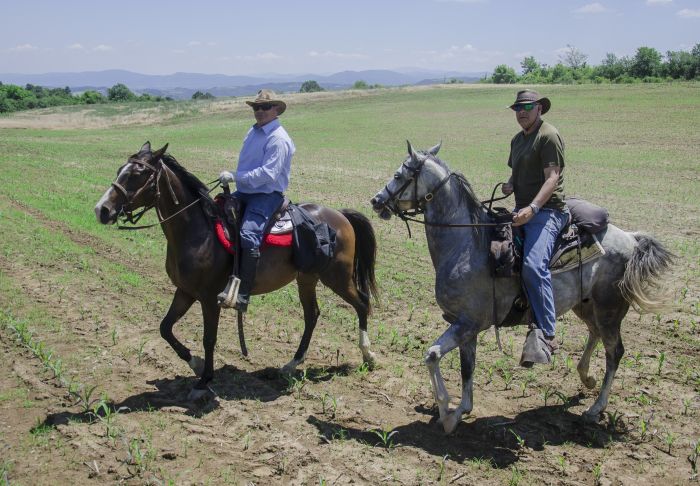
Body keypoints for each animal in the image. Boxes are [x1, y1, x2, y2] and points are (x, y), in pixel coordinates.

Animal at [95, 141, 380, 398]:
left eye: (137, 174)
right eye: (121, 169)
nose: (102, 210)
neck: (198, 232)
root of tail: (340, 215)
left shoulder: (209, 297)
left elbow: (209, 338)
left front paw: (204, 381)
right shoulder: (185, 291)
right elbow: (165, 328)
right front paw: (196, 364)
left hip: (337, 276)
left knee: (362, 303)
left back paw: (369, 355)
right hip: (308, 278)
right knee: (312, 315)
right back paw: (291, 365)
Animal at [372, 142, 672, 434]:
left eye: (399, 174)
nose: (376, 201)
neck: (468, 244)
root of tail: (631, 239)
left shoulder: (468, 323)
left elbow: (432, 355)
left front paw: (446, 411)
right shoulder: (464, 325)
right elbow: (467, 369)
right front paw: (460, 411)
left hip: (609, 308)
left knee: (614, 352)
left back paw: (595, 408)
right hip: (585, 305)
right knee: (595, 334)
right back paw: (586, 377)